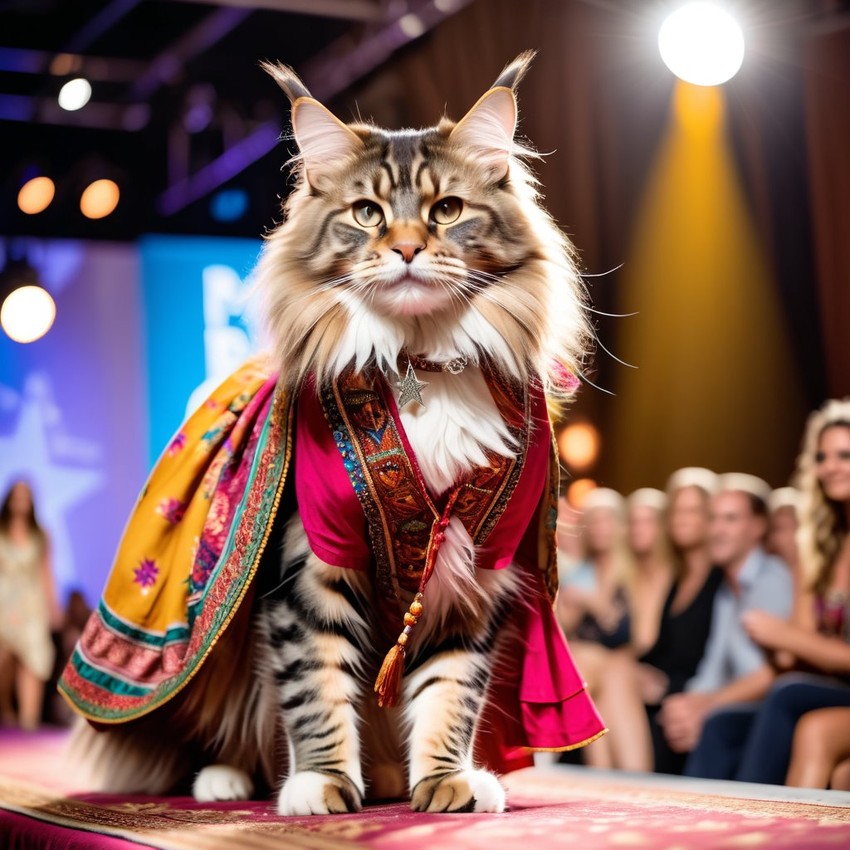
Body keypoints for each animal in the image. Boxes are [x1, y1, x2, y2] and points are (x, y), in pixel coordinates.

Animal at [66, 53, 592, 816]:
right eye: (367, 213)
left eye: (446, 210)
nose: (406, 249)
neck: (417, 361)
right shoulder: (309, 567)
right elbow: (316, 688)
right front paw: (321, 786)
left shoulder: (472, 568)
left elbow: (450, 690)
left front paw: (444, 782)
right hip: (210, 670)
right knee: (219, 730)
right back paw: (227, 778)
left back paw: (390, 777)